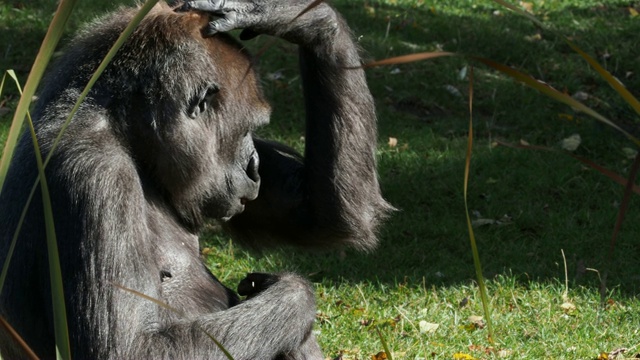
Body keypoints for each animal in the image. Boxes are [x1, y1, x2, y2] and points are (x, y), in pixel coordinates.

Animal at [0, 1, 390, 358]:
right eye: (246, 129)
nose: (255, 167)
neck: (124, 132)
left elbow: (321, 213)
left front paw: (295, 16)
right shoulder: (96, 174)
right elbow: (126, 350)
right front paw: (293, 295)